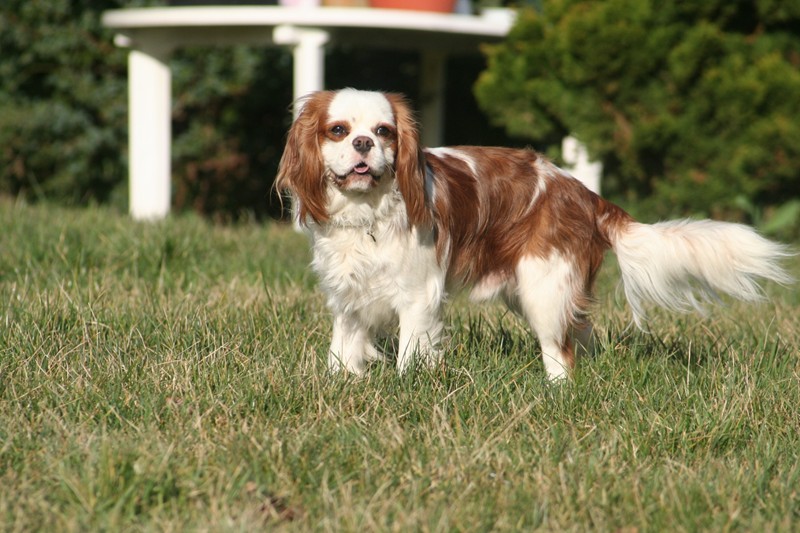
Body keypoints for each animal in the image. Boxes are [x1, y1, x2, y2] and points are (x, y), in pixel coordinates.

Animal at [278, 88, 792, 378]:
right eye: (338, 130)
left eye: (385, 131)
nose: (363, 143)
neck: (367, 212)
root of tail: (586, 194)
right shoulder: (347, 298)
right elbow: (343, 351)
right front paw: (342, 383)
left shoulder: (418, 295)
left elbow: (410, 354)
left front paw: (406, 388)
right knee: (580, 335)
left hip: (543, 287)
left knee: (559, 353)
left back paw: (558, 393)